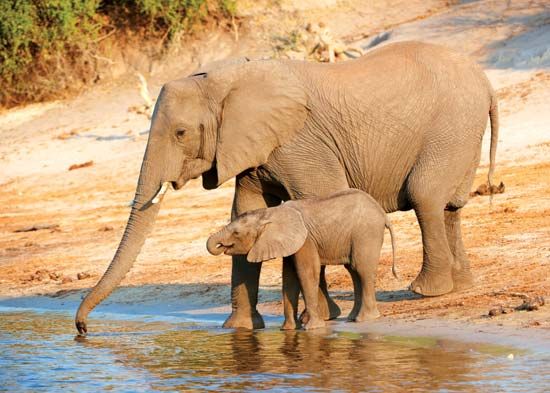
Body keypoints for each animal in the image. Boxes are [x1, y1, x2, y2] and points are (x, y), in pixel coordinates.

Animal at [207, 188, 396, 330]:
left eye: (236, 233)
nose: (219, 245)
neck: (270, 213)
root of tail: (382, 214)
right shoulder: (291, 242)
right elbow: (289, 278)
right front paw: (288, 330)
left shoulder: (305, 240)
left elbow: (307, 272)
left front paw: (312, 328)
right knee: (353, 271)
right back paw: (352, 318)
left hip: (366, 233)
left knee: (361, 269)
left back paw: (365, 319)